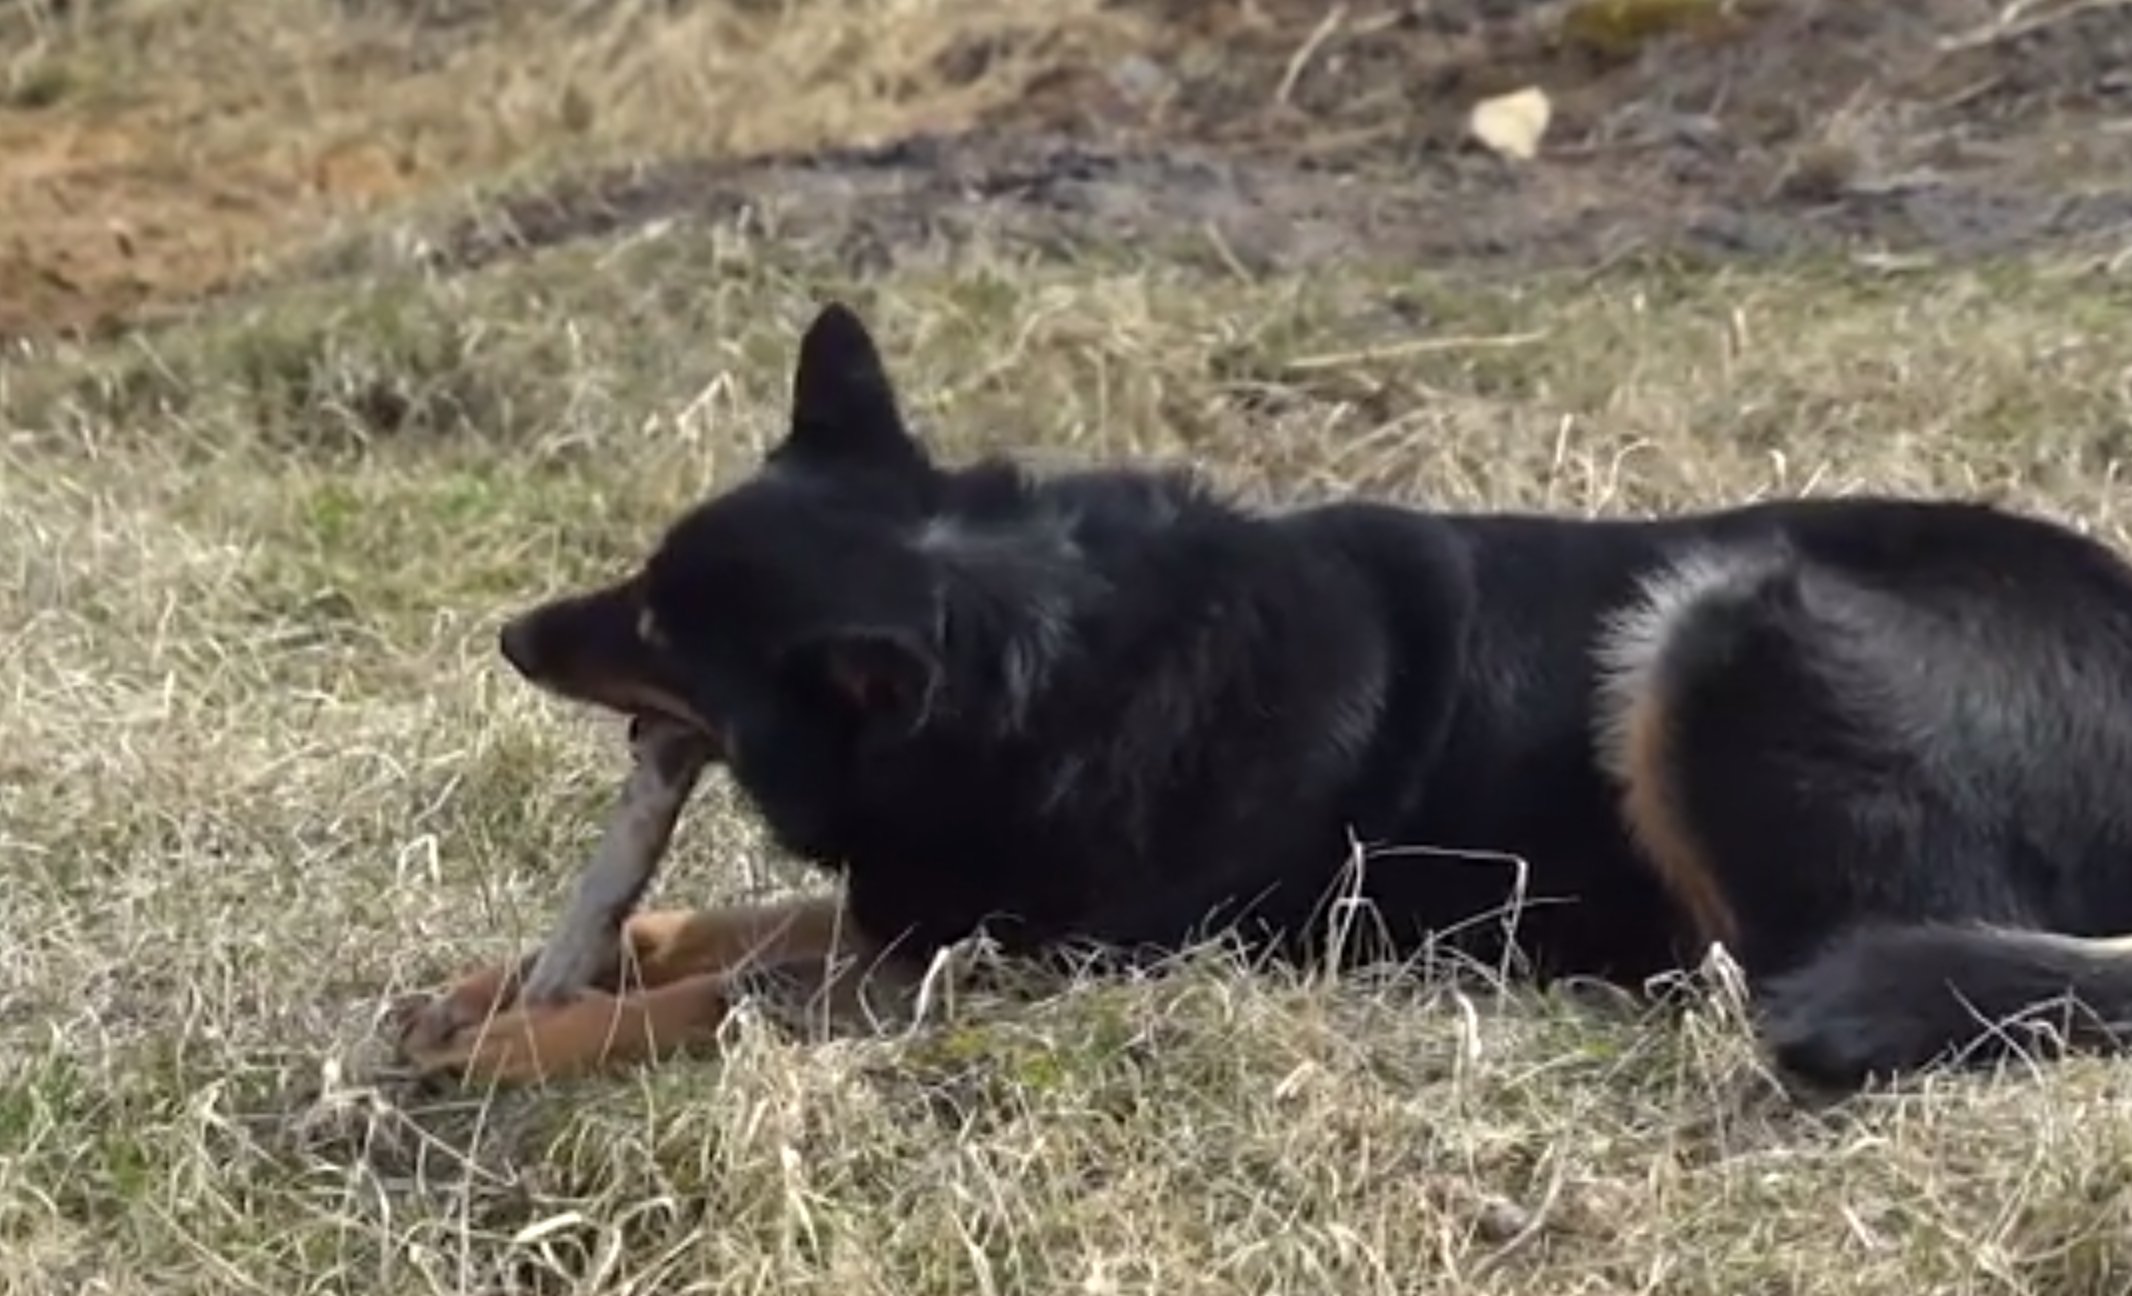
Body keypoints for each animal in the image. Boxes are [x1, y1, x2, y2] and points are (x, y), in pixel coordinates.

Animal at [400, 298, 2132, 1087]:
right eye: (640, 581)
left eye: (654, 623)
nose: (507, 636)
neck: (1057, 652)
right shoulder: (935, 904)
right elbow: (759, 930)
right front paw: (514, 983)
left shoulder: (1015, 968)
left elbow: (744, 992)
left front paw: (522, 1044)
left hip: (1705, 629)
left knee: (1792, 956)